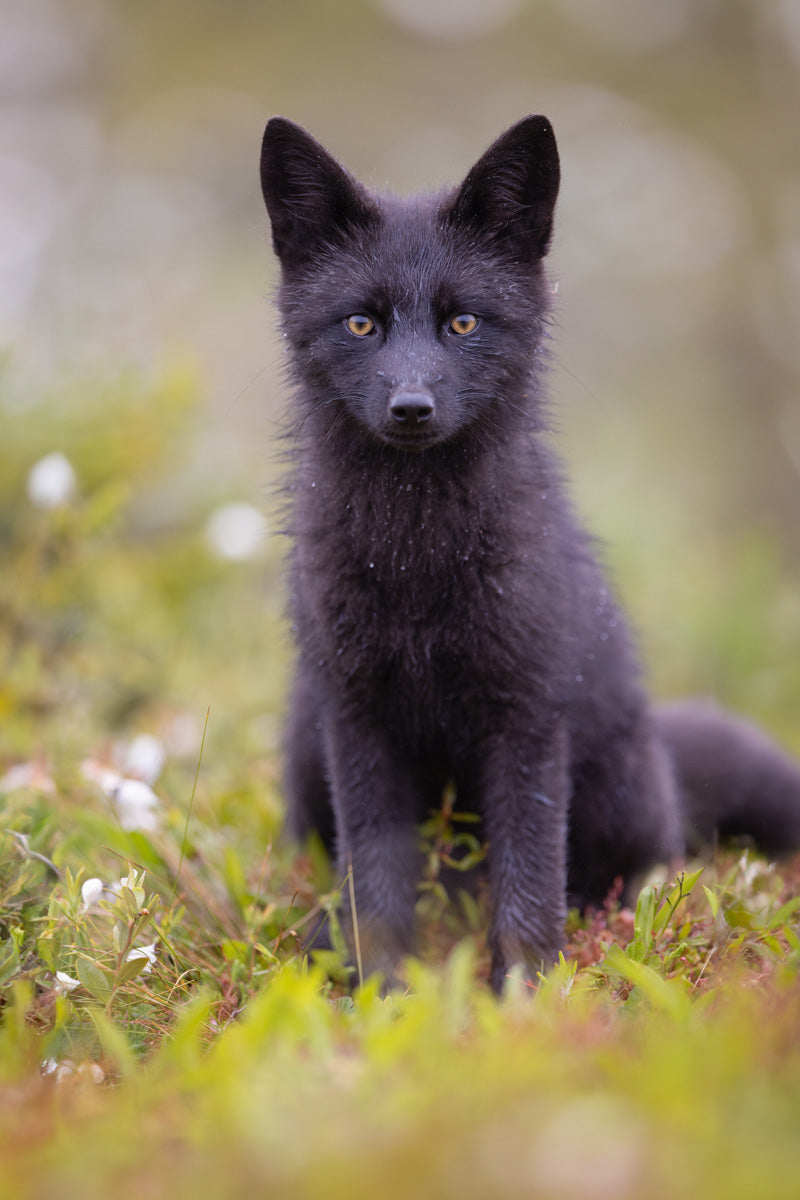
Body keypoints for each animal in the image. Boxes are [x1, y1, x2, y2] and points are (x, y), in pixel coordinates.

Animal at [259, 114, 800, 992]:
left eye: (464, 323)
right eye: (361, 324)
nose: (412, 407)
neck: (415, 565)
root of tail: (662, 755)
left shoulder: (527, 721)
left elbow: (526, 888)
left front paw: (525, 999)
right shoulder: (357, 719)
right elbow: (377, 878)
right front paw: (382, 992)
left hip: (615, 790)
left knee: (622, 873)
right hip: (307, 743)